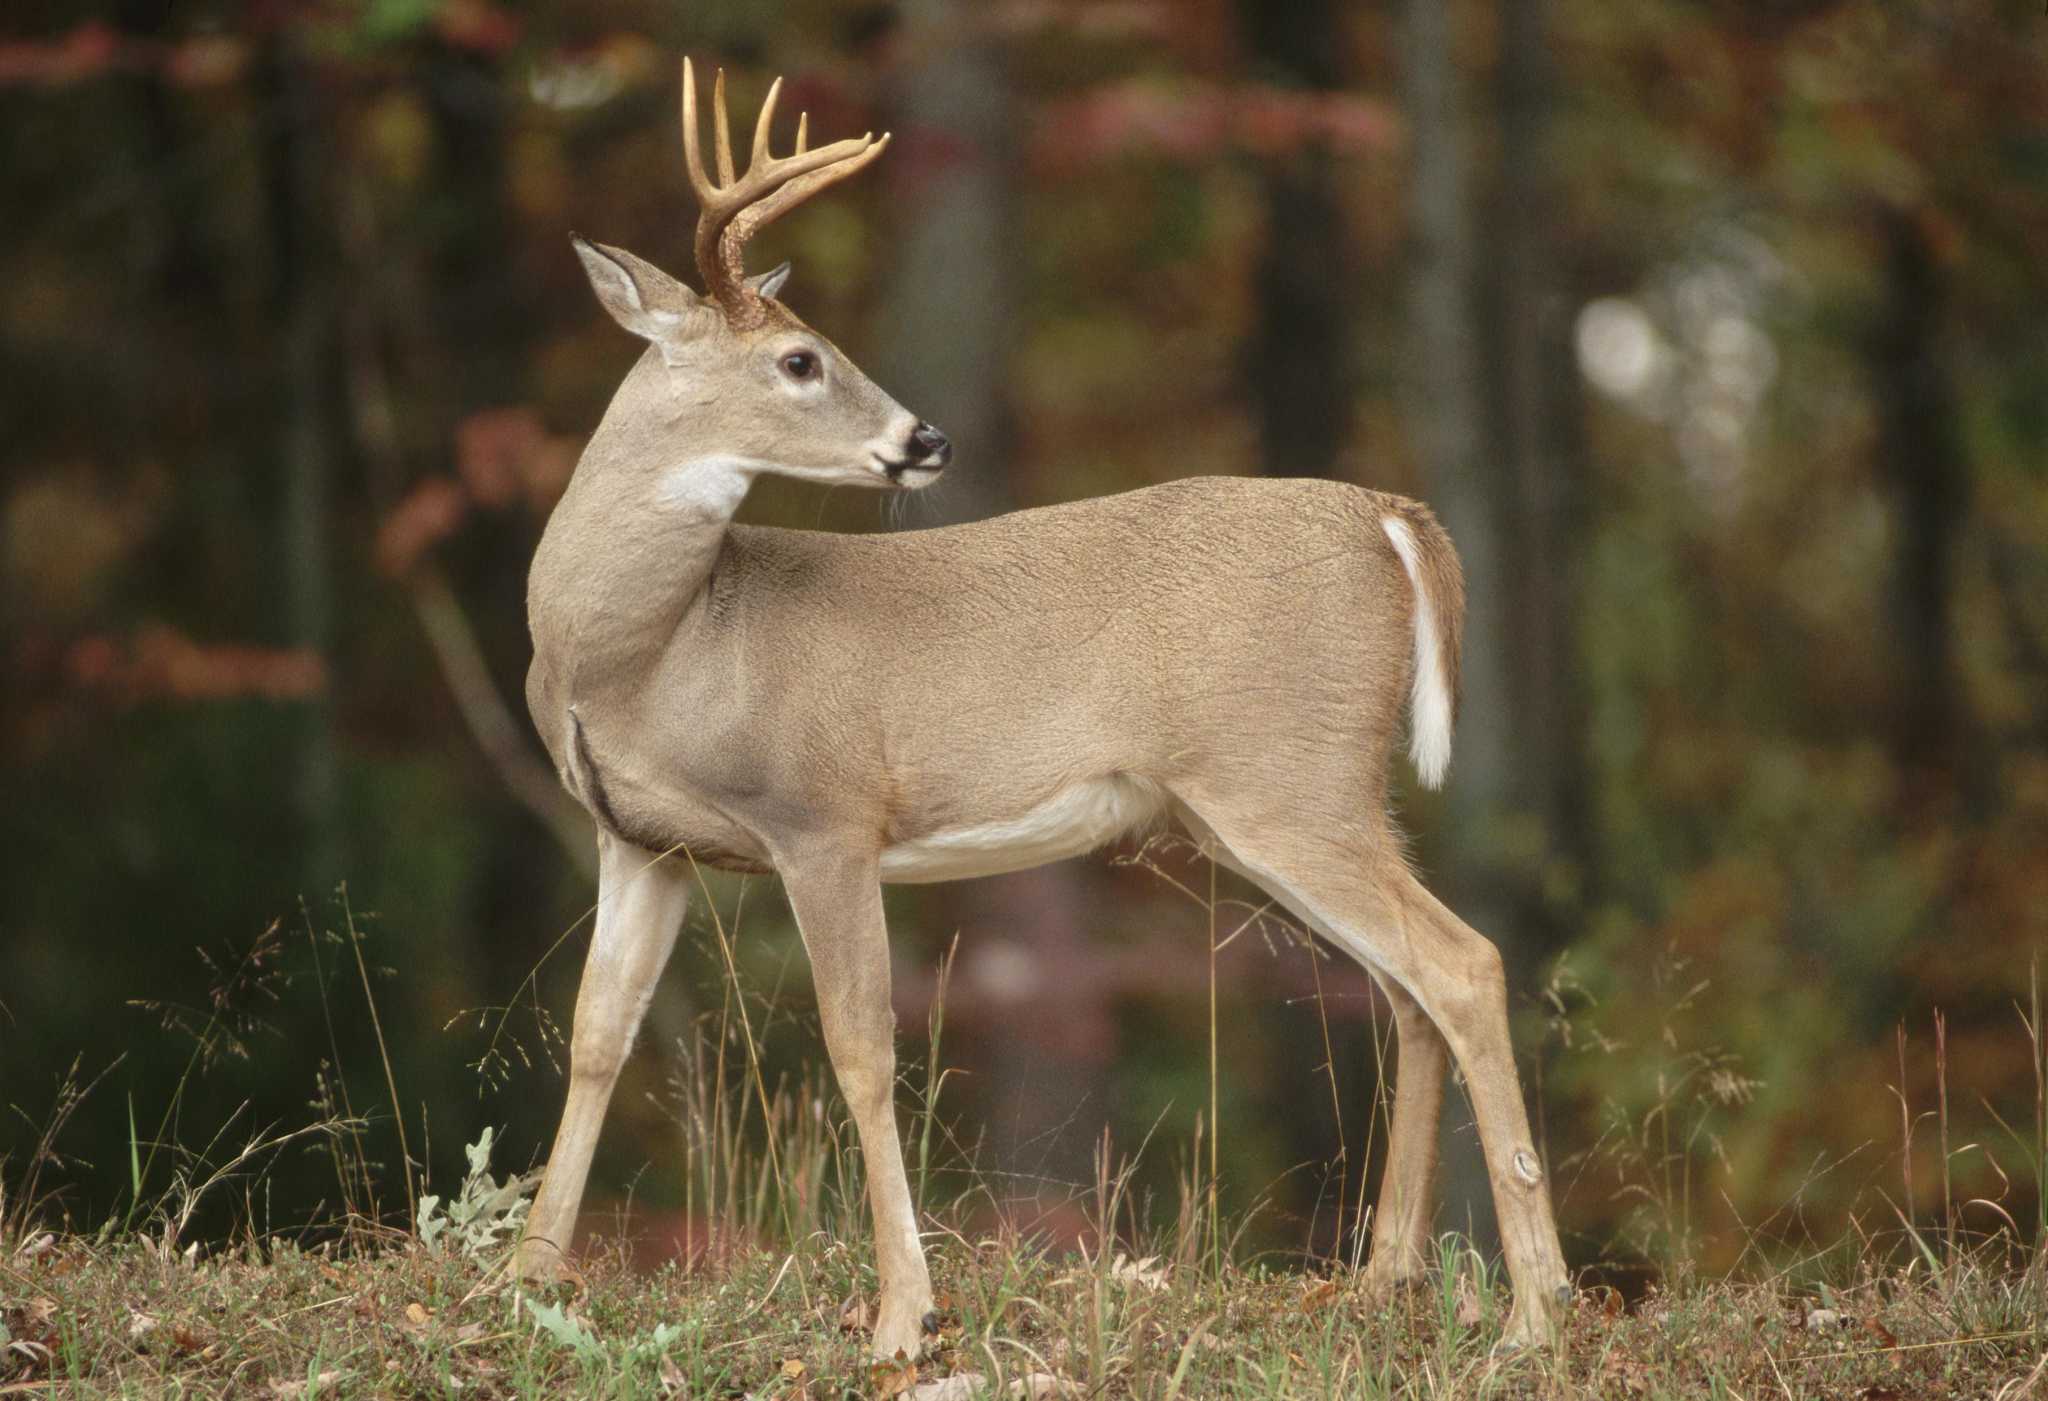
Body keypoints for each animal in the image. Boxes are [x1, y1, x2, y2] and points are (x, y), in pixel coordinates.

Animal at [520, 57, 1572, 1360]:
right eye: (802, 360)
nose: (925, 437)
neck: (647, 654)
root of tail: (1390, 515)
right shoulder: (640, 840)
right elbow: (594, 1036)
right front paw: (520, 1274)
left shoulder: (823, 813)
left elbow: (861, 1048)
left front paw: (903, 1315)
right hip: (1275, 801)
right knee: (1405, 992)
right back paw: (1382, 1283)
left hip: (1289, 778)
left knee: (1462, 964)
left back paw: (1535, 1312)